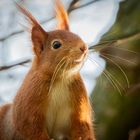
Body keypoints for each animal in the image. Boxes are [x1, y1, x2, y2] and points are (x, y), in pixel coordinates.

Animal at [0, 0, 95, 139]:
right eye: (56, 45)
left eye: (77, 35)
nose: (84, 47)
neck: (61, 79)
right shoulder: (29, 104)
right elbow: (32, 129)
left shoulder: (80, 105)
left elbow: (82, 128)